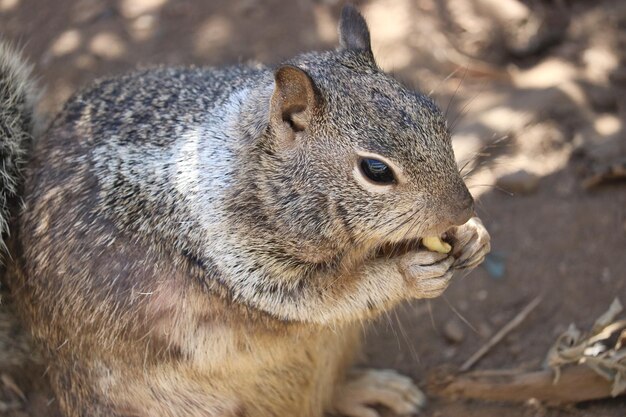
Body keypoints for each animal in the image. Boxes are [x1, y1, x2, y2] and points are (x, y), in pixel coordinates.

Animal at [0, 5, 488, 416]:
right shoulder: (240, 263)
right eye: (376, 170)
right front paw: (409, 272)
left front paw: (474, 237)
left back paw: (370, 389)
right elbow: (324, 297)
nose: (463, 207)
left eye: (435, 115)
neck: (252, 169)